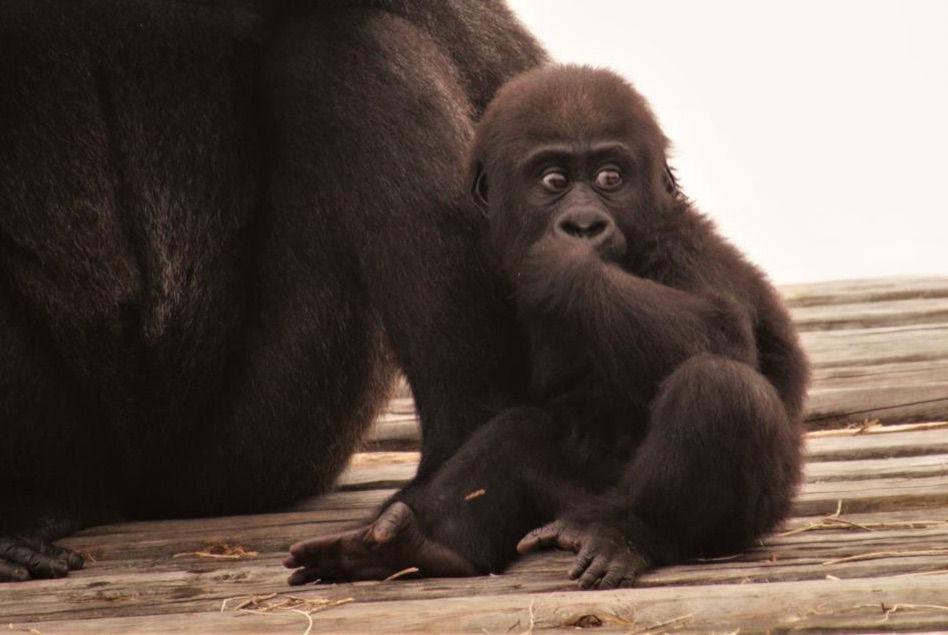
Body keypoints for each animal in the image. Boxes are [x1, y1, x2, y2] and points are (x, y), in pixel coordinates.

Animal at [0, 0, 544, 584]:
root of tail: (143, 490)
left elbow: (495, 62)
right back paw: (26, 514)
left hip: (260, 454)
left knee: (344, 56)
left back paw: (455, 496)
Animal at [284, 66, 808, 592]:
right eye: (554, 180)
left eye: (609, 178)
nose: (584, 225)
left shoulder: (683, 240)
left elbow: (723, 333)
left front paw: (564, 268)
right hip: (562, 499)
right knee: (515, 434)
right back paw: (416, 550)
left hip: (743, 516)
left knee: (720, 389)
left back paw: (627, 534)